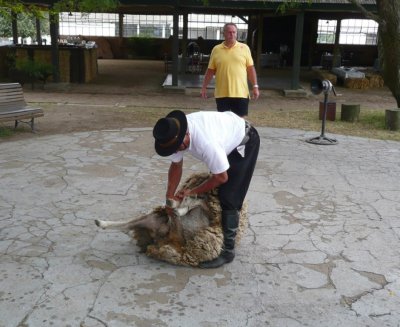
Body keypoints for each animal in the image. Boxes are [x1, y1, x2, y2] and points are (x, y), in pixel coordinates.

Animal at [95, 173, 248, 268]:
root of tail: (160, 239)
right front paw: (180, 203)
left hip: (175, 235)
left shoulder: (210, 210)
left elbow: (194, 202)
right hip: (153, 221)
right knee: (128, 224)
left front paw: (180, 204)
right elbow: (193, 201)